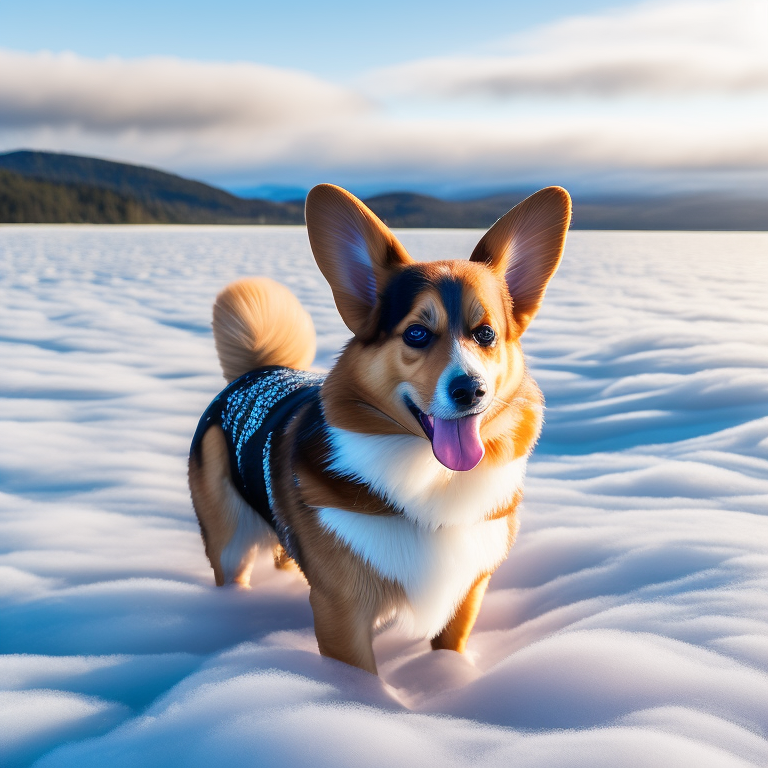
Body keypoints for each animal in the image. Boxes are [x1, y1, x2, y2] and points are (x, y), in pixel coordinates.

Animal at [188, 183, 568, 676]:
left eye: (485, 333)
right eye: (416, 334)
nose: (471, 390)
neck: (431, 483)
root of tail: (257, 370)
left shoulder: (467, 591)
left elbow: (450, 646)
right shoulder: (342, 612)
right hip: (229, 543)